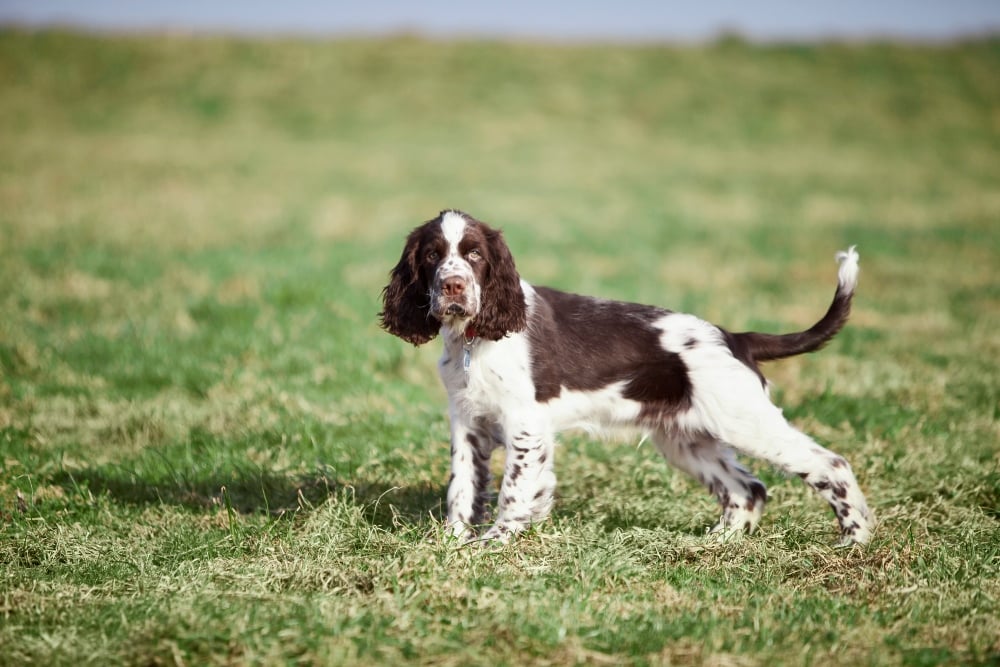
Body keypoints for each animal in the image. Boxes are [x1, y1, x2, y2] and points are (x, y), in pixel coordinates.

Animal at [382, 210, 876, 548]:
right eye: (432, 255)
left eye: (474, 254)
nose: (452, 286)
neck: (474, 337)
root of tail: (735, 338)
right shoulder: (467, 421)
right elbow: (463, 486)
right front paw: (452, 541)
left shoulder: (525, 424)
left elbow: (513, 490)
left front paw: (496, 542)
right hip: (686, 438)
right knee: (747, 488)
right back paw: (716, 543)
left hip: (745, 421)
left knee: (831, 465)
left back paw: (855, 539)